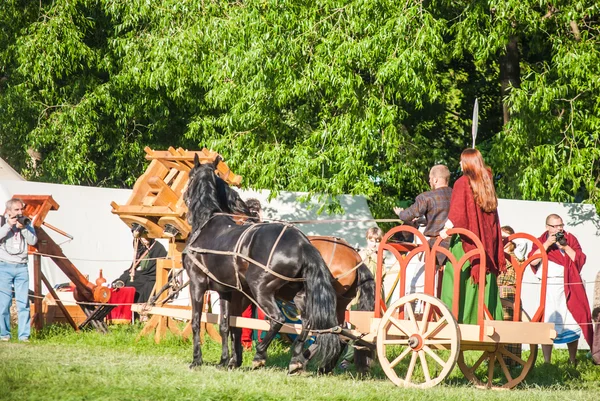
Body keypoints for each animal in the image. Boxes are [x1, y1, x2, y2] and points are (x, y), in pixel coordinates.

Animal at [183, 155, 342, 372]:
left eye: (190, 176)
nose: (184, 198)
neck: (206, 224)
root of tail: (302, 243)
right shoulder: (225, 290)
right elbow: (225, 325)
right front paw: (223, 361)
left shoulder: (197, 283)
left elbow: (196, 322)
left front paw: (196, 360)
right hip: (296, 293)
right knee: (307, 322)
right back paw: (296, 360)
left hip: (261, 289)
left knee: (277, 318)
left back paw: (260, 354)